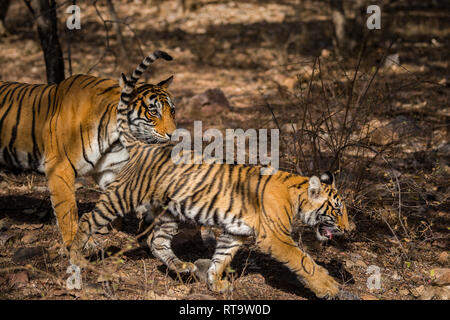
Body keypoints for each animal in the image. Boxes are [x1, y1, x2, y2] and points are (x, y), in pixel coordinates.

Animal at [0, 51, 176, 249]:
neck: (114, 136)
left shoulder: (110, 170)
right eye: (153, 112)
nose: (173, 134)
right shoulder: (60, 167)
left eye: (172, 111)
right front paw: (76, 243)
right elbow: (68, 209)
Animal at [69, 73, 352, 300]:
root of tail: (142, 146)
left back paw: (182, 266)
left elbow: (221, 258)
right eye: (337, 210)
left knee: (156, 240)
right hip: (121, 197)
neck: (296, 197)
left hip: (169, 212)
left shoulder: (235, 233)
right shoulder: (275, 237)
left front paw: (215, 283)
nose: (350, 230)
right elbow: (304, 260)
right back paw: (76, 255)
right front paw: (329, 287)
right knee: (86, 220)